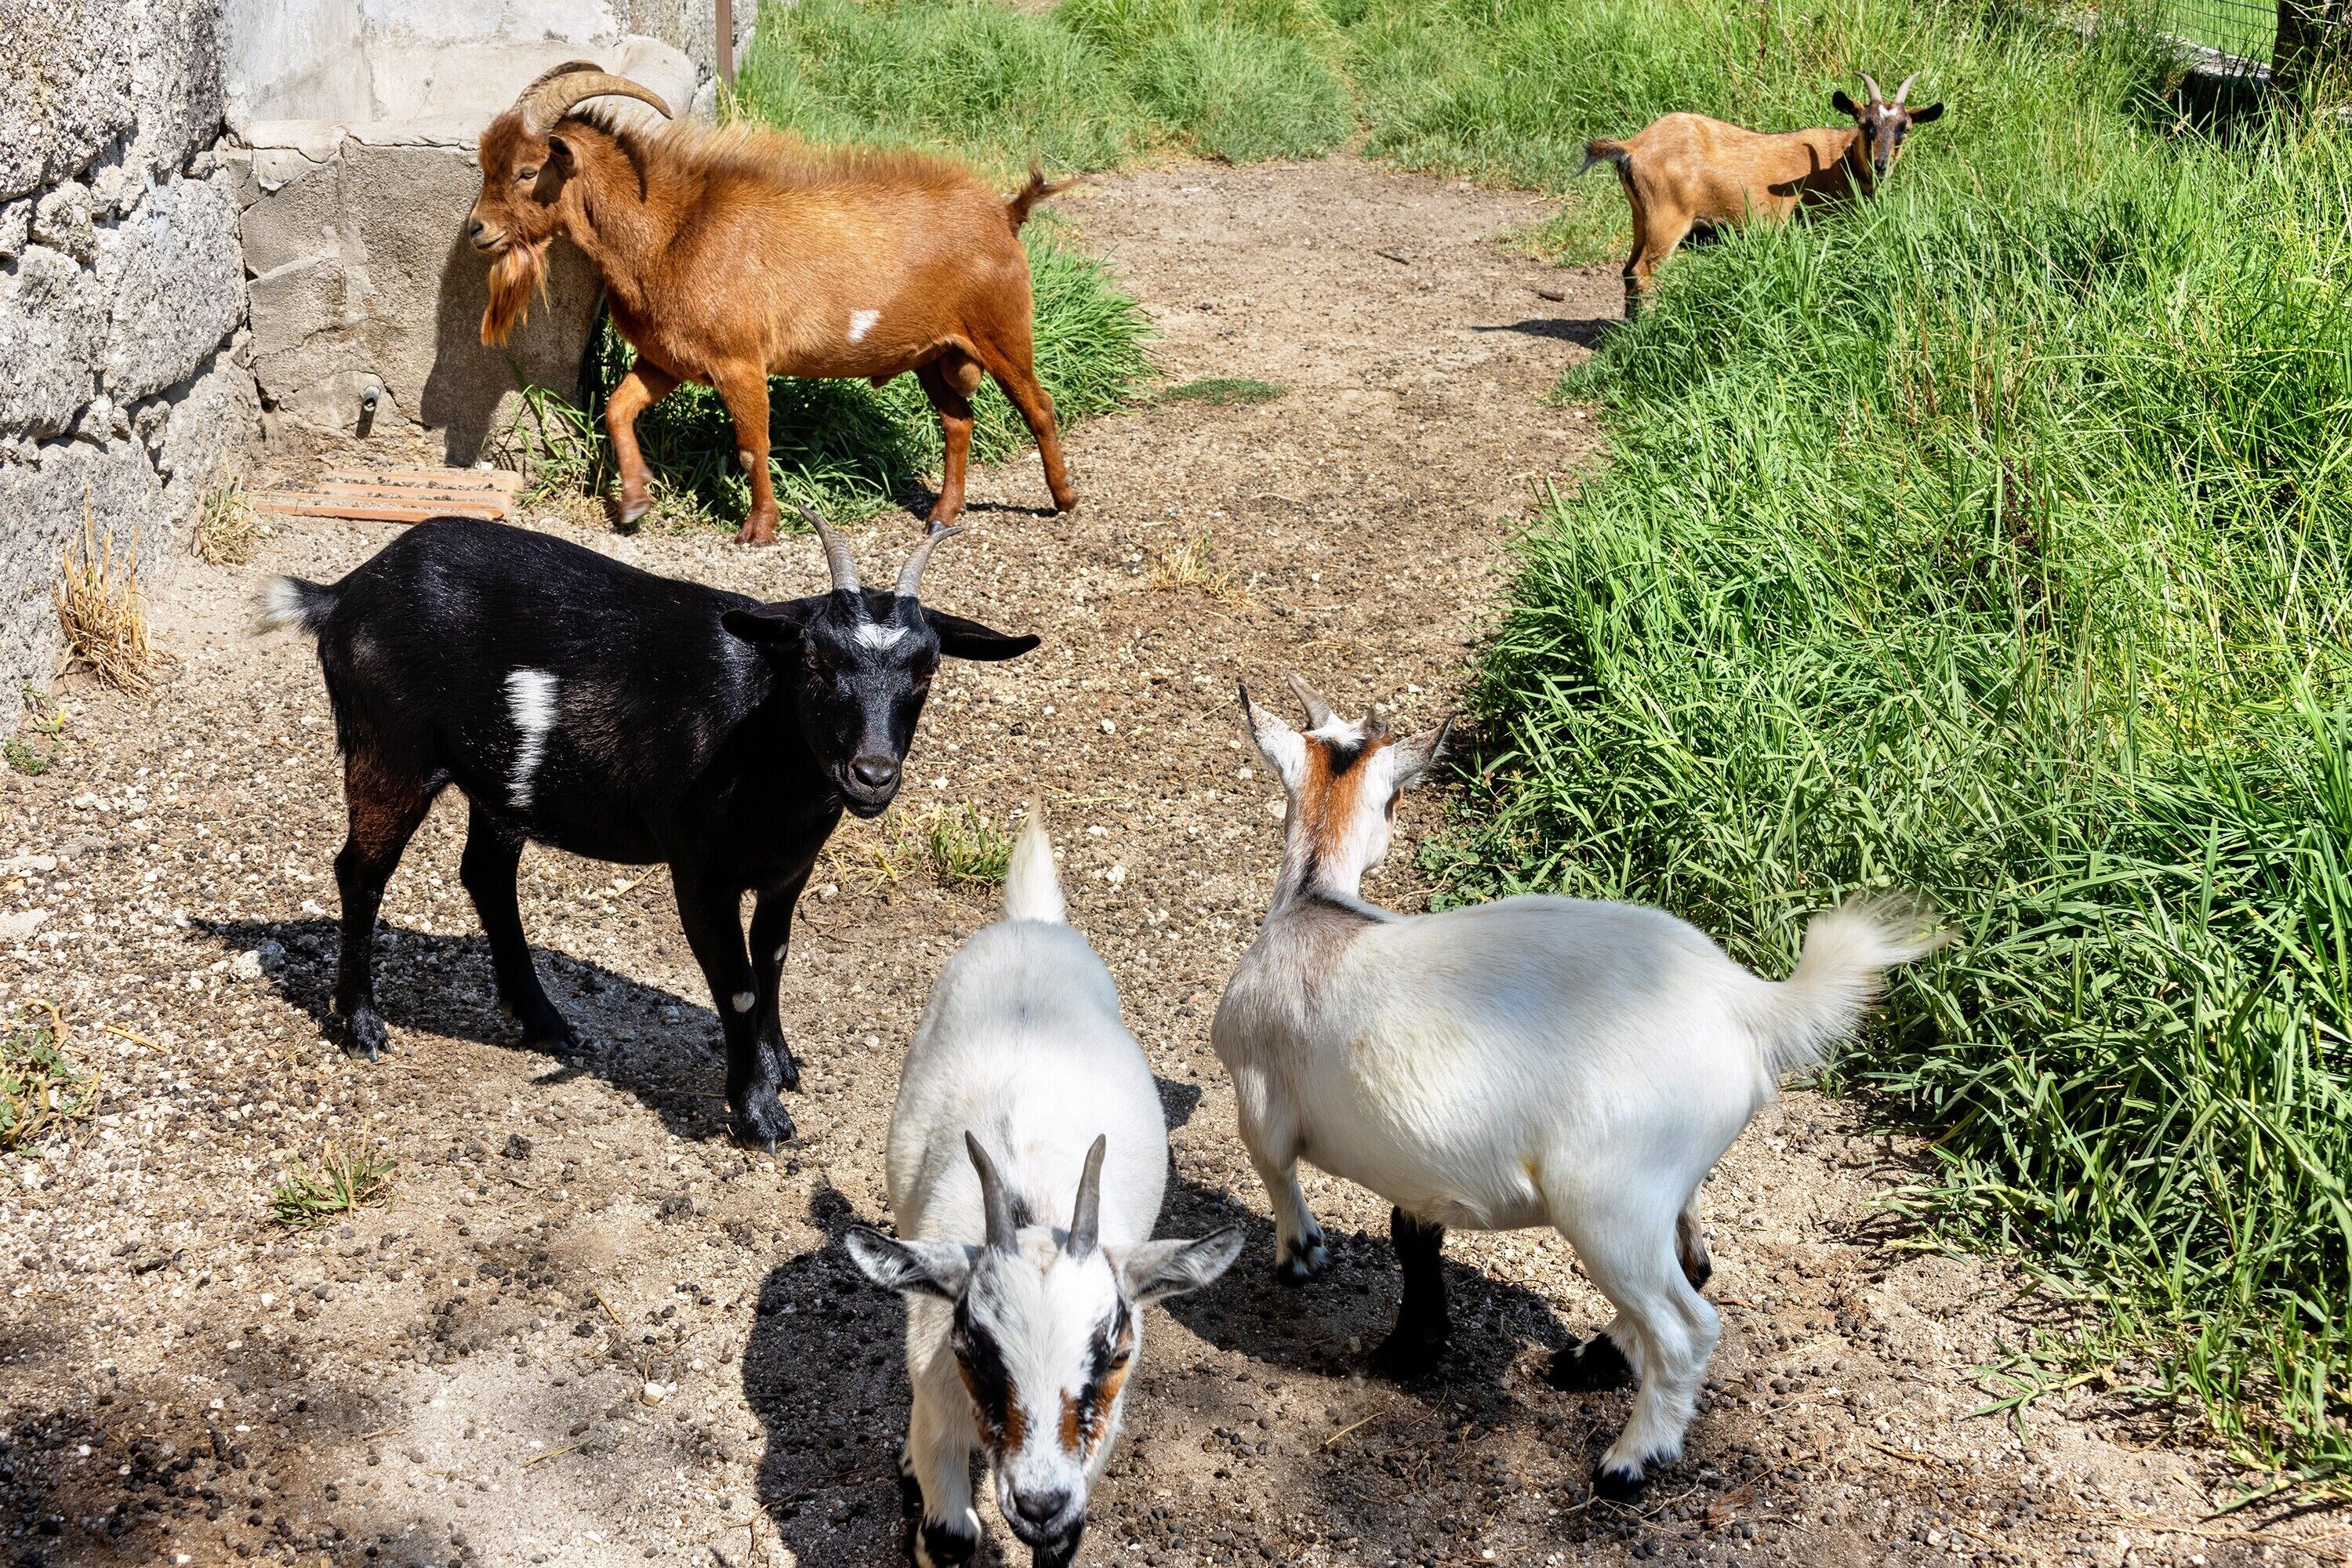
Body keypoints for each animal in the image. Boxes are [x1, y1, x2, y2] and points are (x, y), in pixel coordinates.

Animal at [257, 511, 1036, 1147]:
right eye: (816, 663)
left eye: (927, 671)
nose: (872, 774)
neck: (759, 734)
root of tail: (343, 596)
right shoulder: (700, 872)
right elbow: (739, 983)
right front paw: (759, 1115)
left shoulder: (790, 868)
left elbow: (774, 957)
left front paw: (780, 1064)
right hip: (389, 750)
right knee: (361, 872)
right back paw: (363, 1026)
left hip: (500, 781)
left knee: (484, 873)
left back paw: (543, 1020)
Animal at [468, 63, 1079, 544]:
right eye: (487, 167)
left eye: (527, 171)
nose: (477, 230)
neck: (670, 231)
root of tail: (1005, 214)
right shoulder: (669, 359)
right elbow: (618, 407)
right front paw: (635, 502)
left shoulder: (739, 361)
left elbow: (751, 444)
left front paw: (759, 528)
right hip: (932, 353)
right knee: (959, 422)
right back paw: (942, 515)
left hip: (1001, 330)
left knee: (1039, 406)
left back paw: (1065, 499)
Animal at [847, 808, 1241, 1568]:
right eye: (974, 1349)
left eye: (1114, 1352)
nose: (1037, 1501)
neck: (1031, 1203)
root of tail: (1032, 921)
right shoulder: (939, 1397)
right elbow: (947, 1533)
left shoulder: (1093, 1446)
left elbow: (1064, 1541)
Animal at [1211, 676, 1945, 1499]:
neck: (1313, 905)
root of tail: (1745, 1001)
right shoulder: (1423, 1166)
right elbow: (1413, 1235)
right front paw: (1412, 1347)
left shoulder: (1255, 1095)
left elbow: (1278, 1174)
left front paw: (1302, 1259)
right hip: (1668, 1180)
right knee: (1694, 1263)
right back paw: (1590, 1362)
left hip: (1606, 1200)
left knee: (1687, 1327)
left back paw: (1629, 1460)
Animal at [1580, 72, 1944, 315]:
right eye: (1865, 124)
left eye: (1904, 129)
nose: (1880, 165)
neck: (1840, 160)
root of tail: (1632, 147)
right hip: (1666, 221)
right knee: (1641, 273)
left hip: (1640, 217)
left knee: (1628, 271)